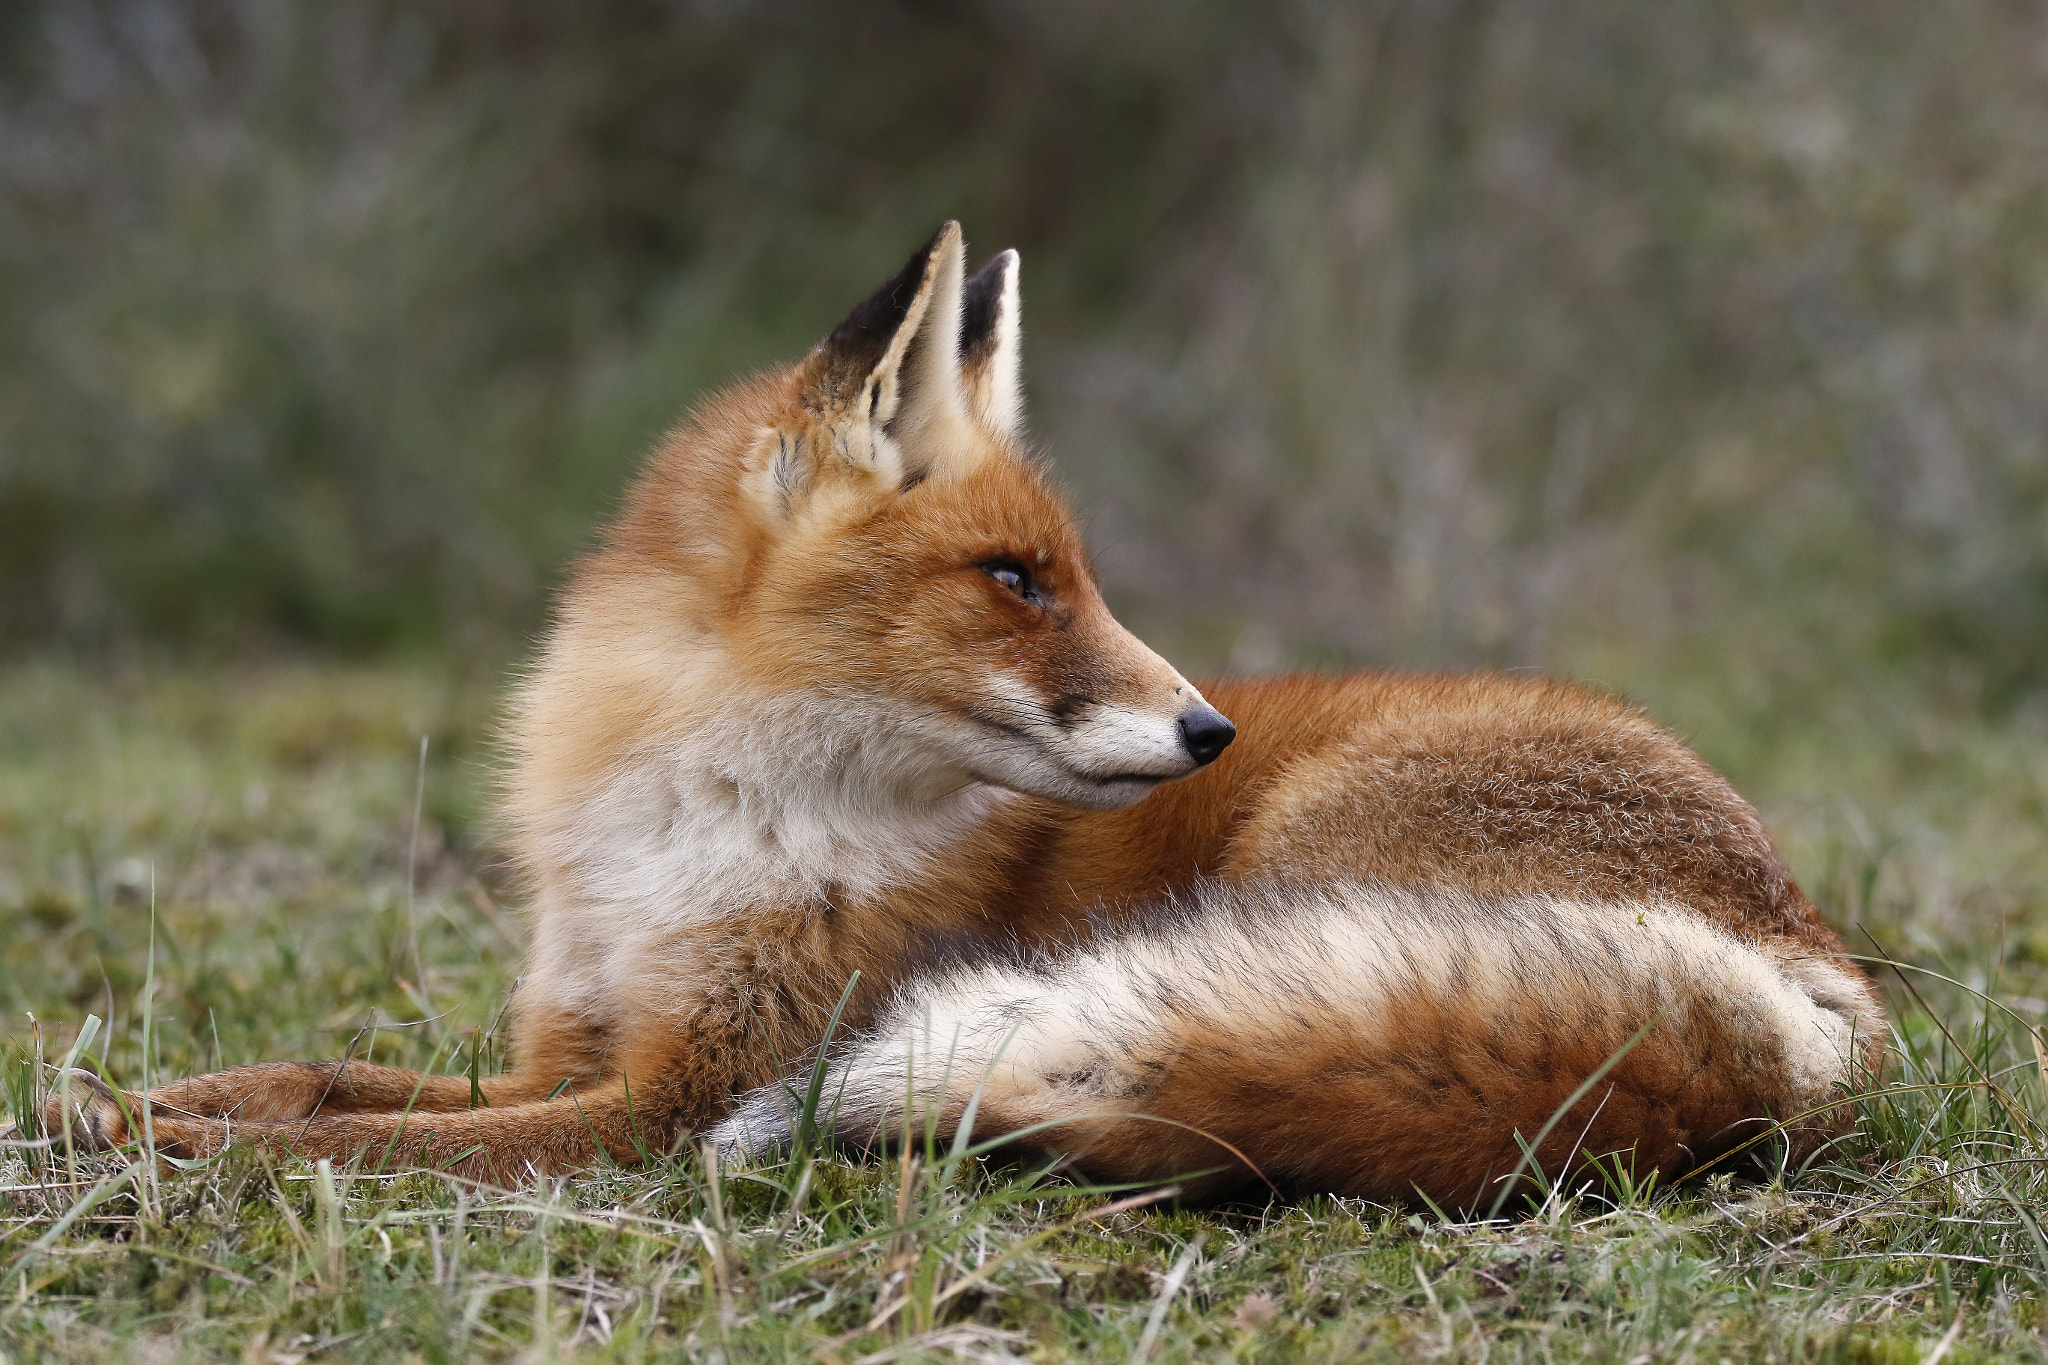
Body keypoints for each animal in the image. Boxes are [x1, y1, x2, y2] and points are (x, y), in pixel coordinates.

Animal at [30, 222, 1886, 1209]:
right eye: (1015, 577)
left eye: (1070, 575)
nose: (1204, 730)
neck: (673, 844)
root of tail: (1814, 987)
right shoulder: (572, 1040)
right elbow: (320, 1077)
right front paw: (130, 1101)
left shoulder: (670, 1094)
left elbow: (362, 1144)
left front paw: (162, 1152)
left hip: (1291, 883)